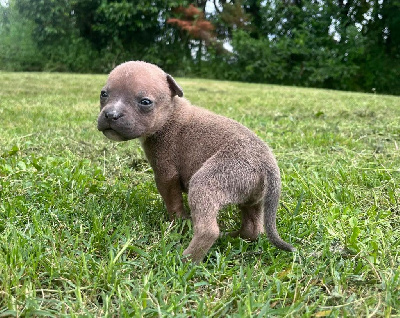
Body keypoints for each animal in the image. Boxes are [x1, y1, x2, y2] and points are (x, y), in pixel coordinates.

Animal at [98, 60, 296, 262]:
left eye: (145, 102)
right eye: (103, 94)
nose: (111, 115)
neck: (170, 114)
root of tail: (268, 164)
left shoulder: (166, 175)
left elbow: (173, 202)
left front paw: (177, 222)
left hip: (209, 181)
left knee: (208, 230)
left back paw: (185, 259)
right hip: (252, 198)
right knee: (253, 228)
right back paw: (233, 237)